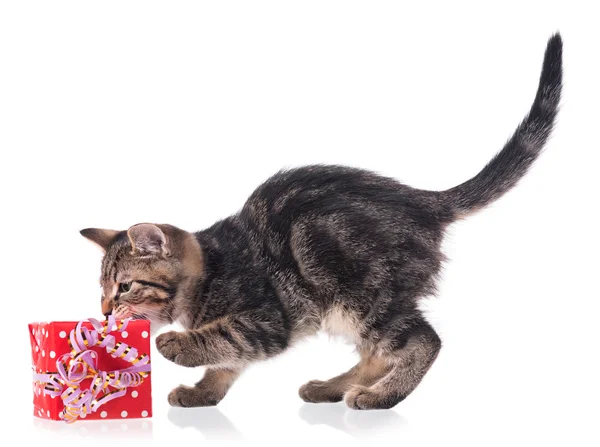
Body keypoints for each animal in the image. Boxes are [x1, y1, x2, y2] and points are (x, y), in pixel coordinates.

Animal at [79, 36, 564, 412]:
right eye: (102, 289)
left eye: (124, 287)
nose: (104, 311)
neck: (208, 272)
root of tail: (422, 199)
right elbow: (227, 361)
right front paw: (204, 393)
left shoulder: (268, 319)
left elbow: (226, 337)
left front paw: (178, 345)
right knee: (376, 353)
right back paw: (335, 387)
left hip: (365, 295)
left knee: (425, 342)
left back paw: (379, 397)